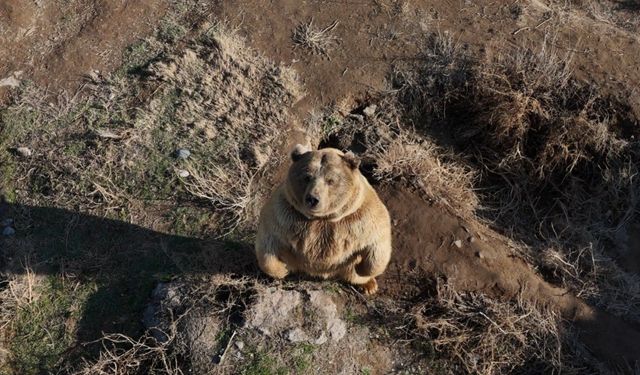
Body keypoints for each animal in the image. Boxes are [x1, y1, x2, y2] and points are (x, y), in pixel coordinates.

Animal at [254, 144, 390, 294]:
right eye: (307, 177)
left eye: (330, 180)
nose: (312, 199)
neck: (323, 218)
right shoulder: (285, 214)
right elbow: (268, 243)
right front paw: (282, 270)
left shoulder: (359, 217)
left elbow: (378, 242)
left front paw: (363, 270)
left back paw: (369, 285)